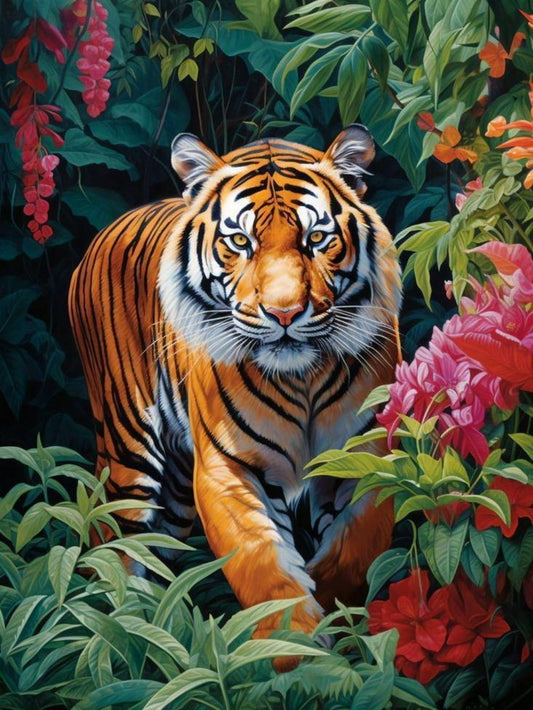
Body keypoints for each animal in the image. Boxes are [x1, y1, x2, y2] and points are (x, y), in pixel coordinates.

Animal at [68, 124, 402, 670]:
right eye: (240, 241)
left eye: (316, 238)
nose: (284, 313)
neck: (301, 378)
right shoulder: (228, 469)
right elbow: (264, 567)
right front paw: (301, 659)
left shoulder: (364, 456)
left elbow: (353, 551)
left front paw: (336, 624)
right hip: (127, 455)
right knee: (114, 550)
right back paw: (121, 634)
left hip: (177, 495)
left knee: (159, 553)